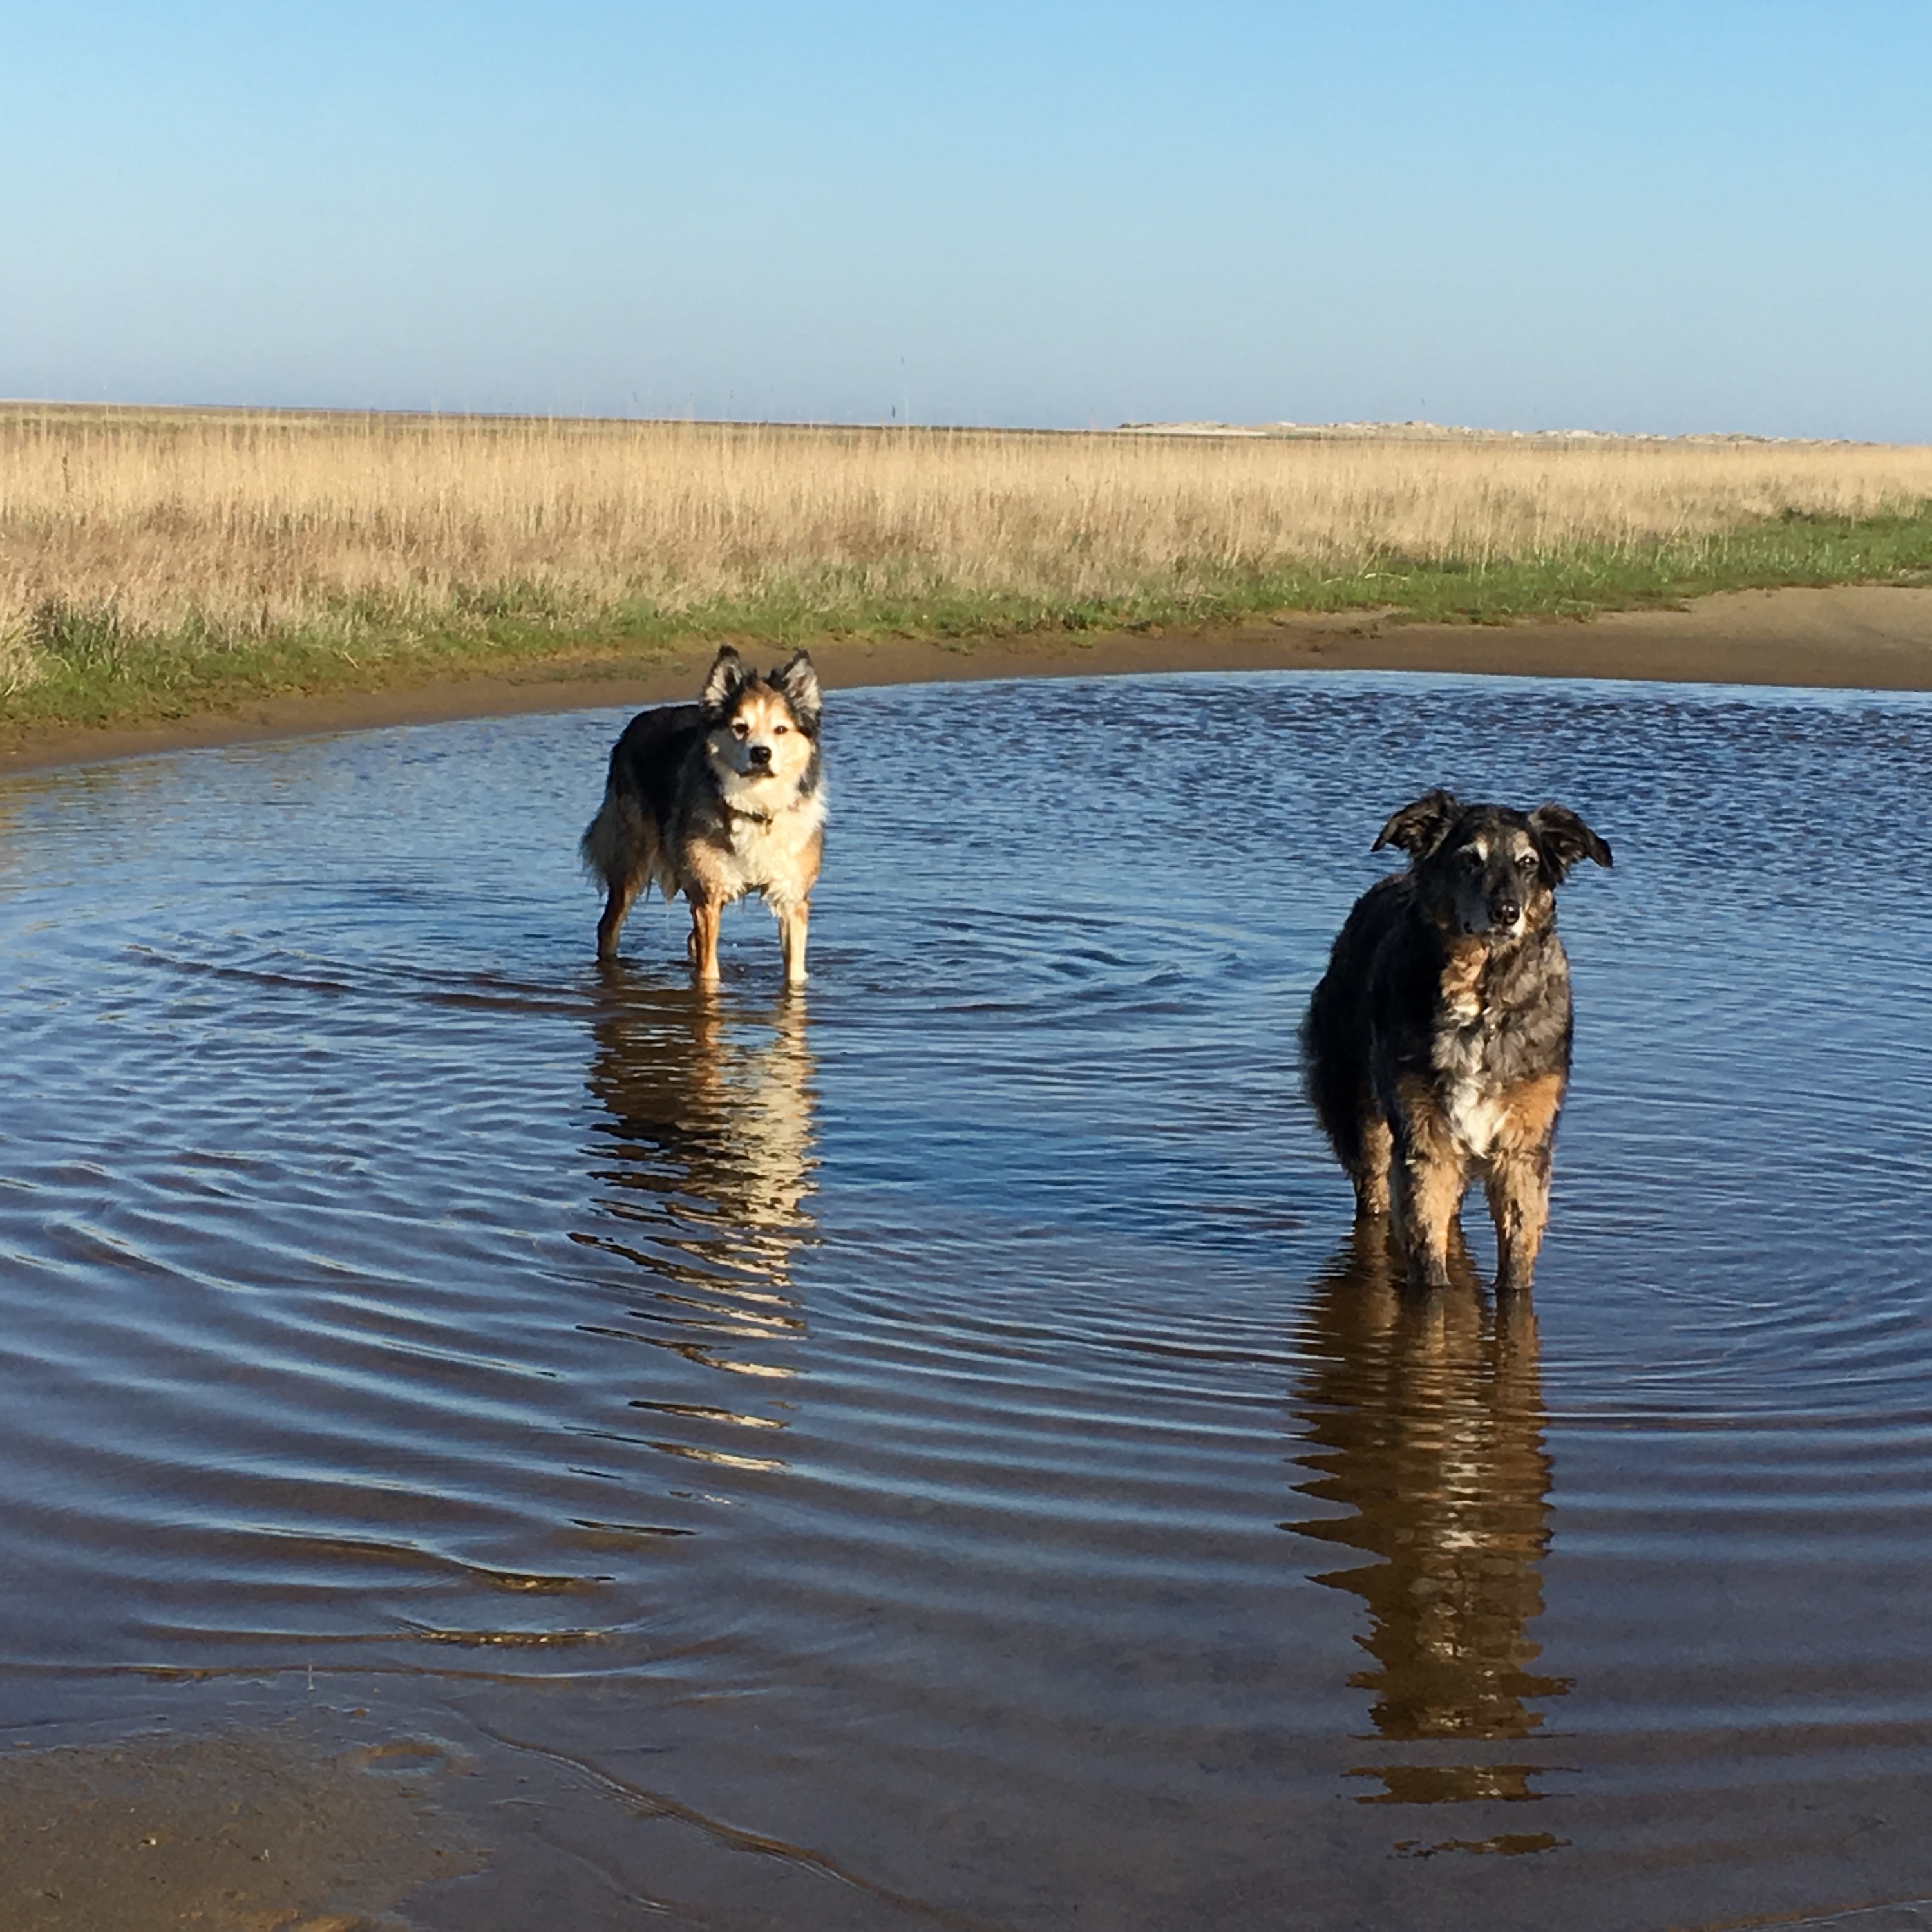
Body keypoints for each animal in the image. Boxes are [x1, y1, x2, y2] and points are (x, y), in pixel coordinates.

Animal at [580, 649, 823, 989]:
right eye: (740, 727)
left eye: (781, 730)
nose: (761, 754)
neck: (755, 808)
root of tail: (638, 722)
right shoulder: (708, 896)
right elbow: (709, 974)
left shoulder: (792, 898)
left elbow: (795, 975)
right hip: (632, 860)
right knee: (608, 927)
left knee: (690, 940)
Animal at [1298, 784, 1615, 1298]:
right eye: (1469, 859)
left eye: (1529, 863)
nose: (1507, 913)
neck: (1481, 1002)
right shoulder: (1425, 1141)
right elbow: (1429, 1263)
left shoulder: (1523, 1151)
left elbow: (1516, 1264)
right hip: (1362, 1120)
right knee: (1375, 1196)